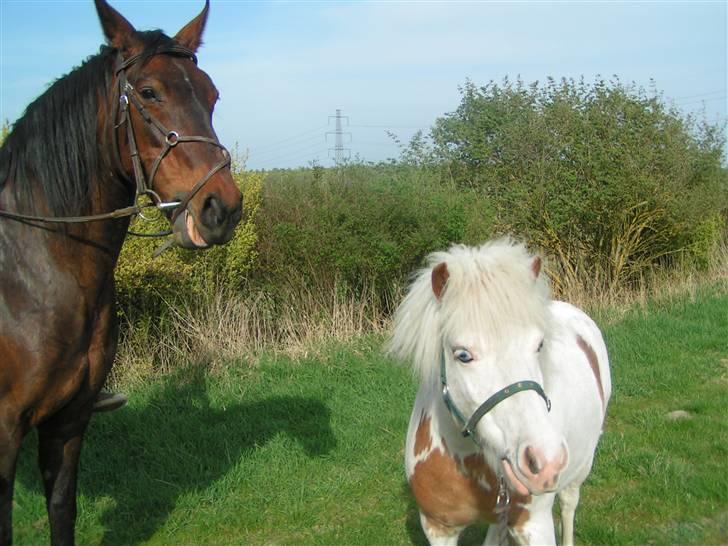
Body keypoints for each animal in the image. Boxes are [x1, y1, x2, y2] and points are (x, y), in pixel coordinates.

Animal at [0, 2, 245, 540]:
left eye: (212, 94)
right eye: (149, 93)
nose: (222, 209)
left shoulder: (69, 422)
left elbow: (62, 508)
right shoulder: (4, 432)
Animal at [390, 238, 612, 544]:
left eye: (539, 345)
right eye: (463, 355)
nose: (545, 461)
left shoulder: (535, 525)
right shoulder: (438, 527)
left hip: (580, 469)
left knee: (569, 505)